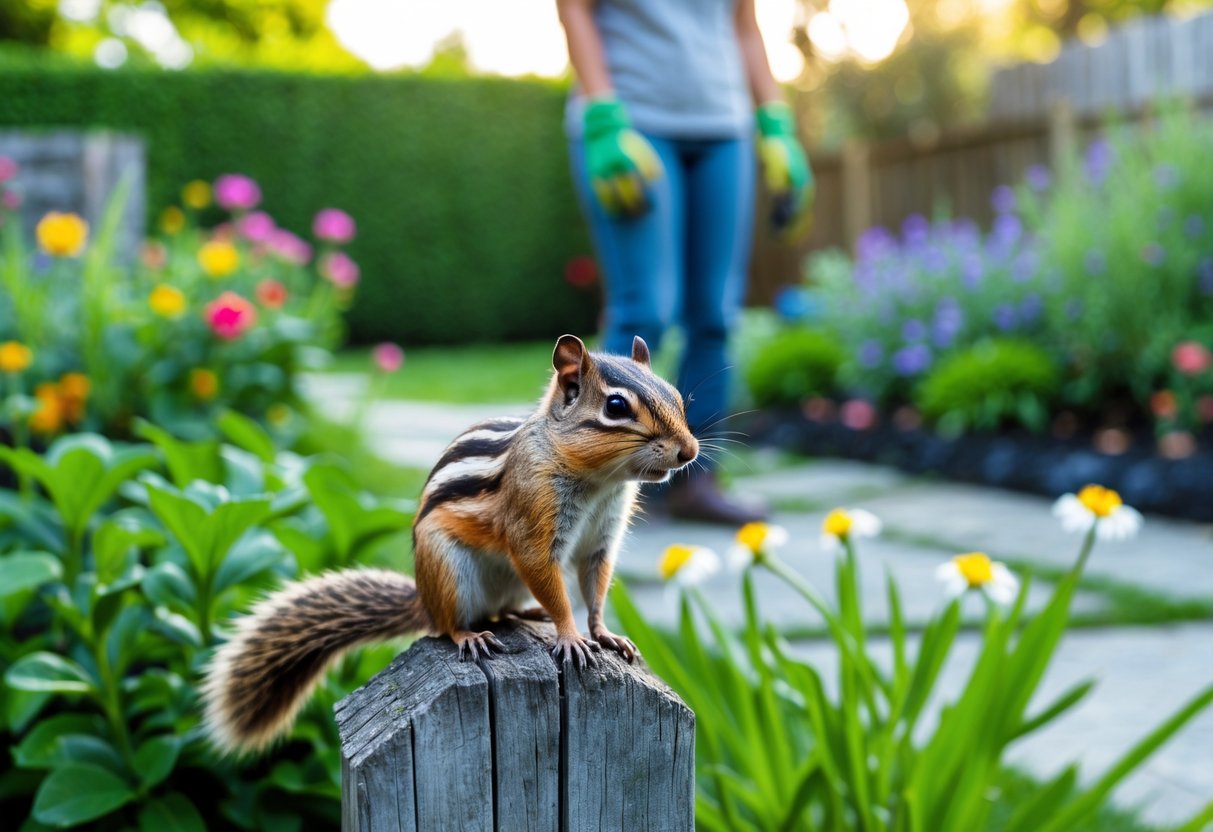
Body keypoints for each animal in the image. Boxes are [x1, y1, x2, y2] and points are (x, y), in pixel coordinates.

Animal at [202, 334, 699, 754]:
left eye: (677, 395)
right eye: (615, 406)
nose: (689, 451)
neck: (600, 482)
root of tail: (424, 599)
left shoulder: (601, 539)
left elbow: (596, 586)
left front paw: (603, 632)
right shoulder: (532, 526)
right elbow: (552, 584)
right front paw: (571, 635)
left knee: (501, 610)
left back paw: (524, 613)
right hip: (448, 572)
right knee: (450, 625)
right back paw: (471, 636)